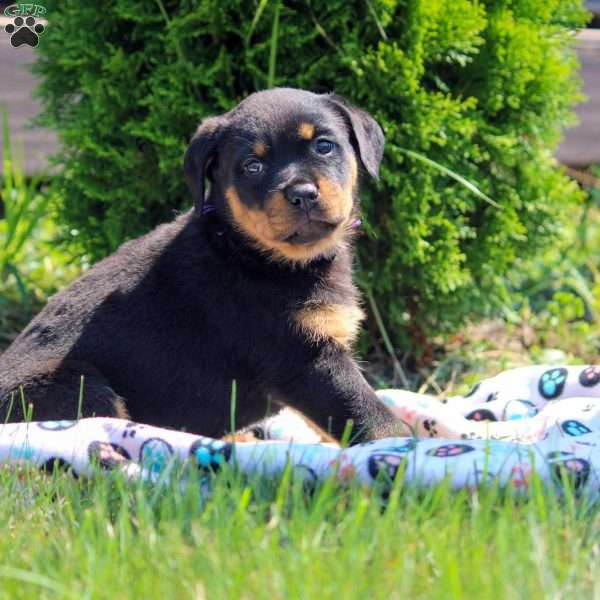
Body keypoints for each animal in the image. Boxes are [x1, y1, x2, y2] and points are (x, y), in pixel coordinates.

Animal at [1, 88, 404, 440]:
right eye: (253, 166)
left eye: (323, 145)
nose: (302, 195)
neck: (251, 253)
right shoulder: (305, 359)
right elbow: (372, 415)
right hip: (82, 386)